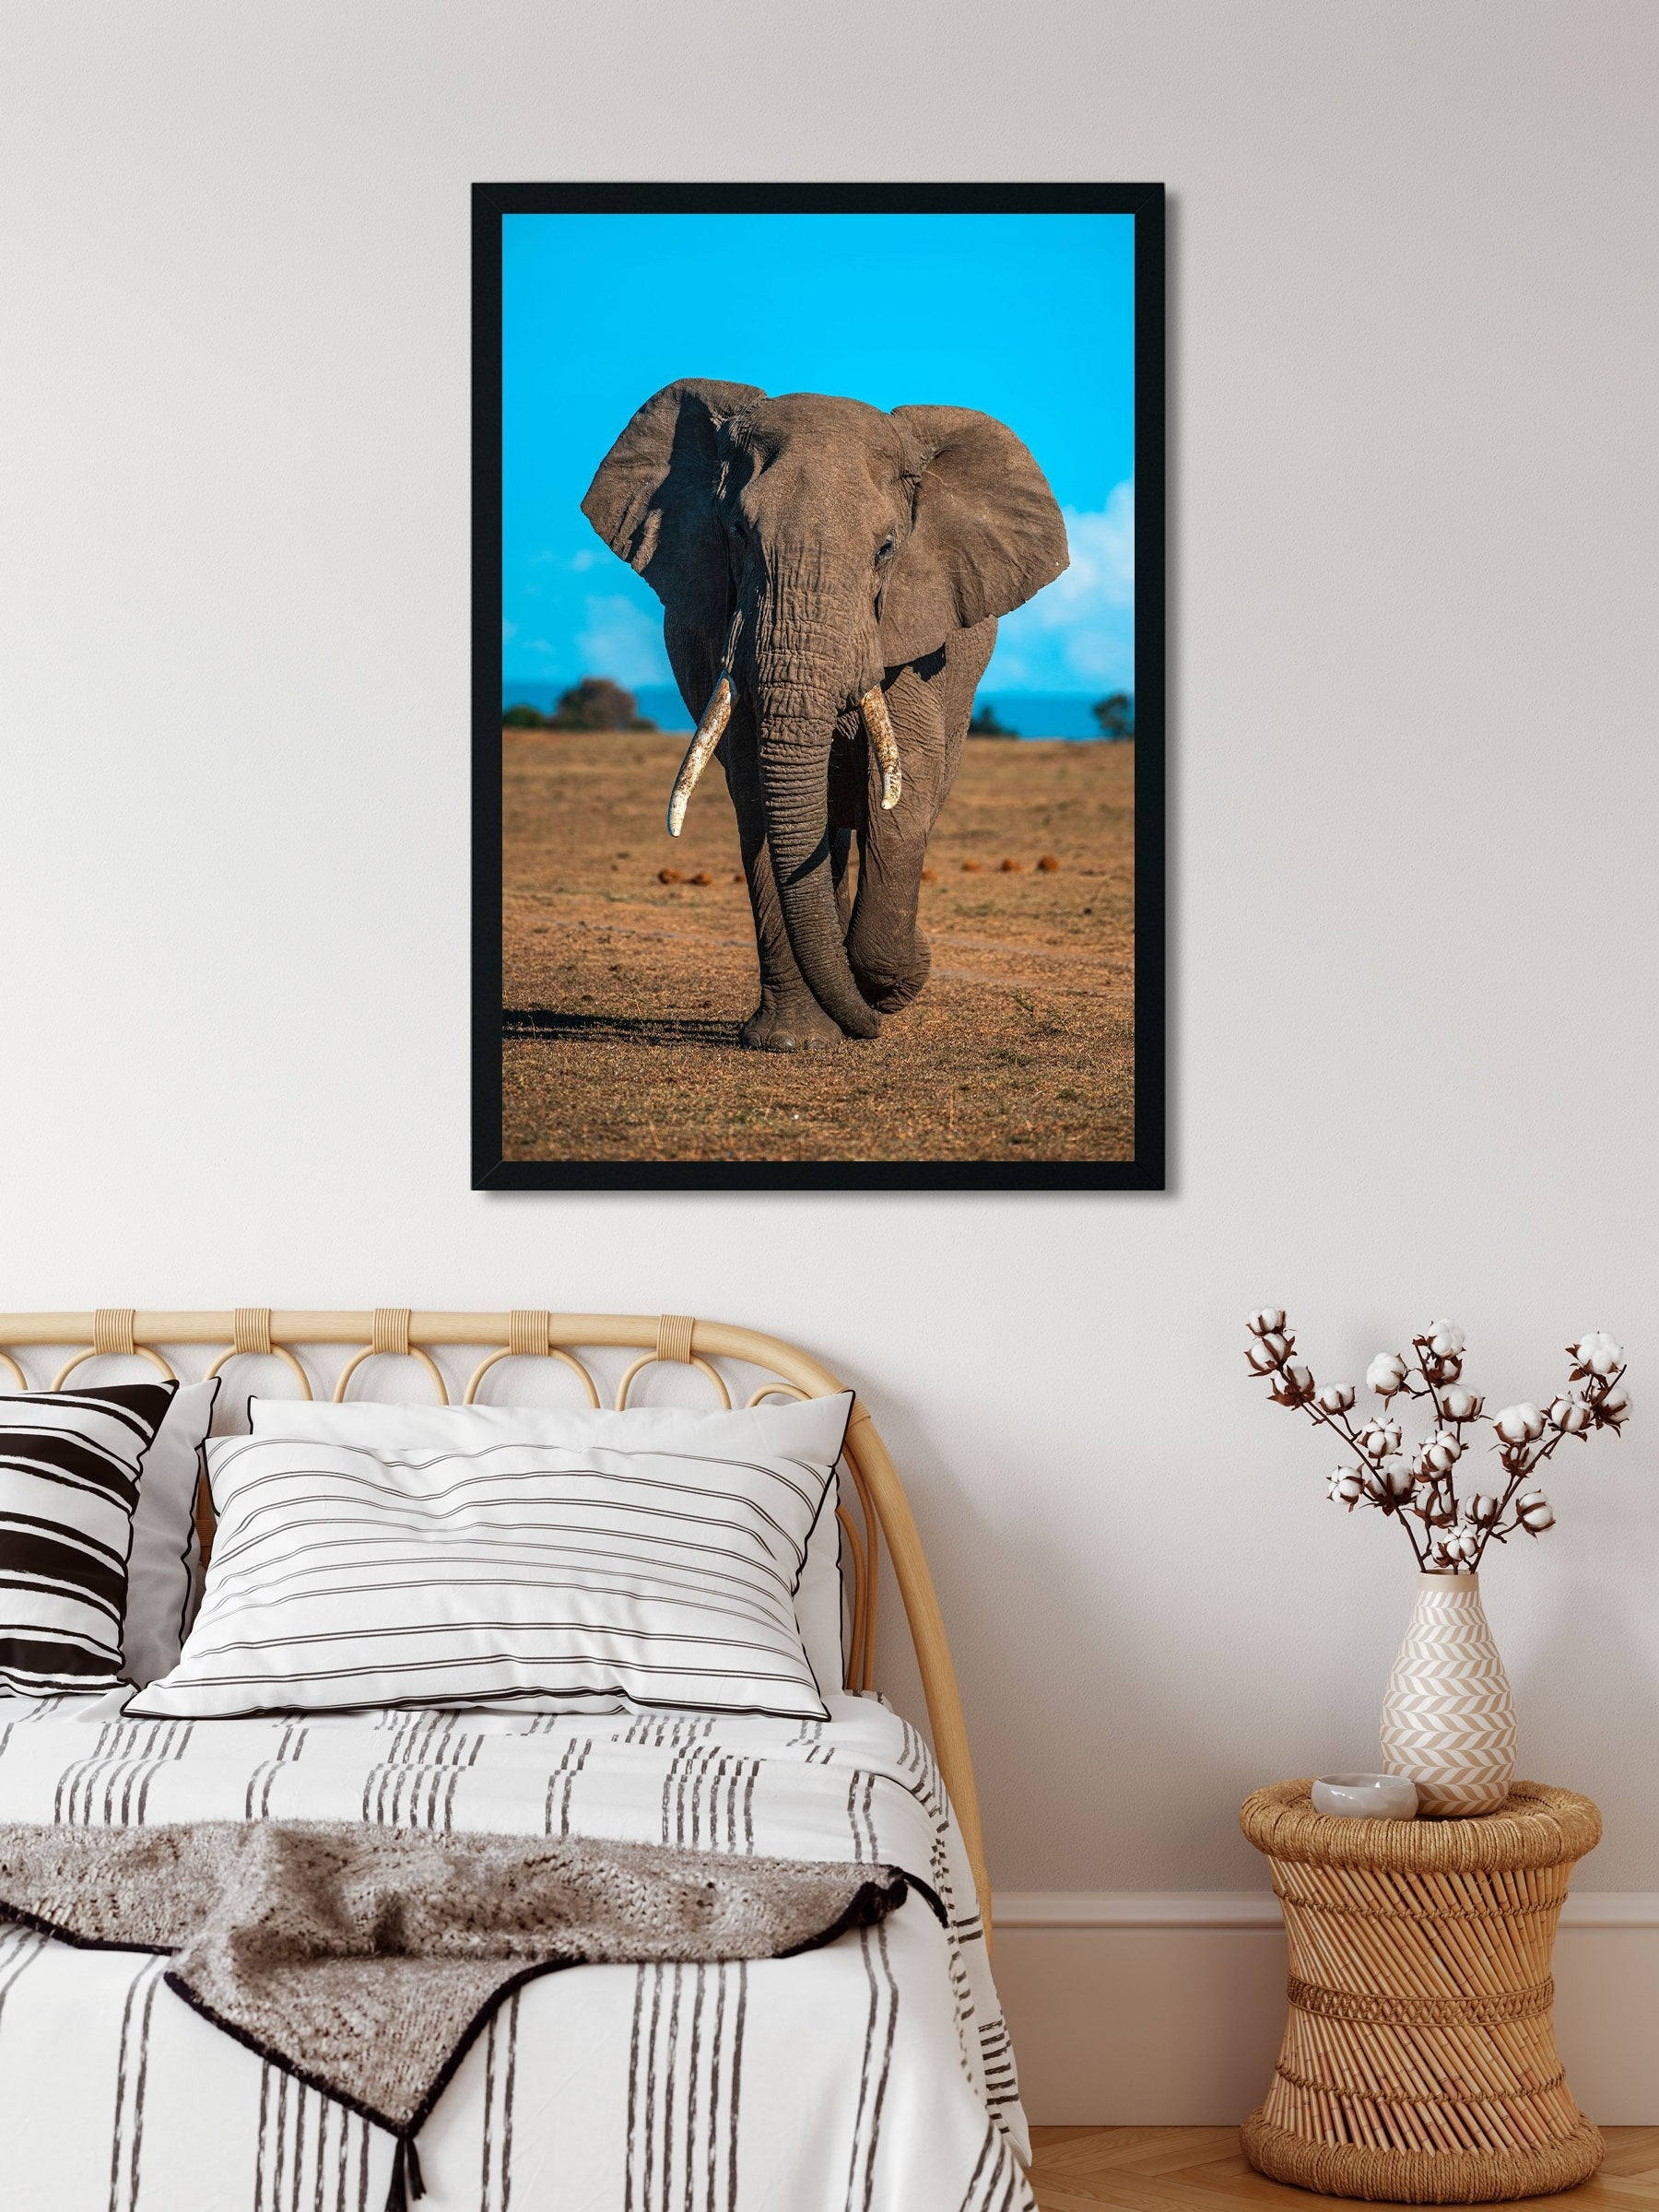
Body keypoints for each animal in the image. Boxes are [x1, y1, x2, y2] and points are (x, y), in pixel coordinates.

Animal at [581, 380, 1069, 1051]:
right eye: (737, 532)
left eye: (887, 549)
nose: (872, 1023)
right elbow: (758, 794)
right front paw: (794, 1040)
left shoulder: (913, 633)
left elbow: (903, 790)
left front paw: (885, 987)